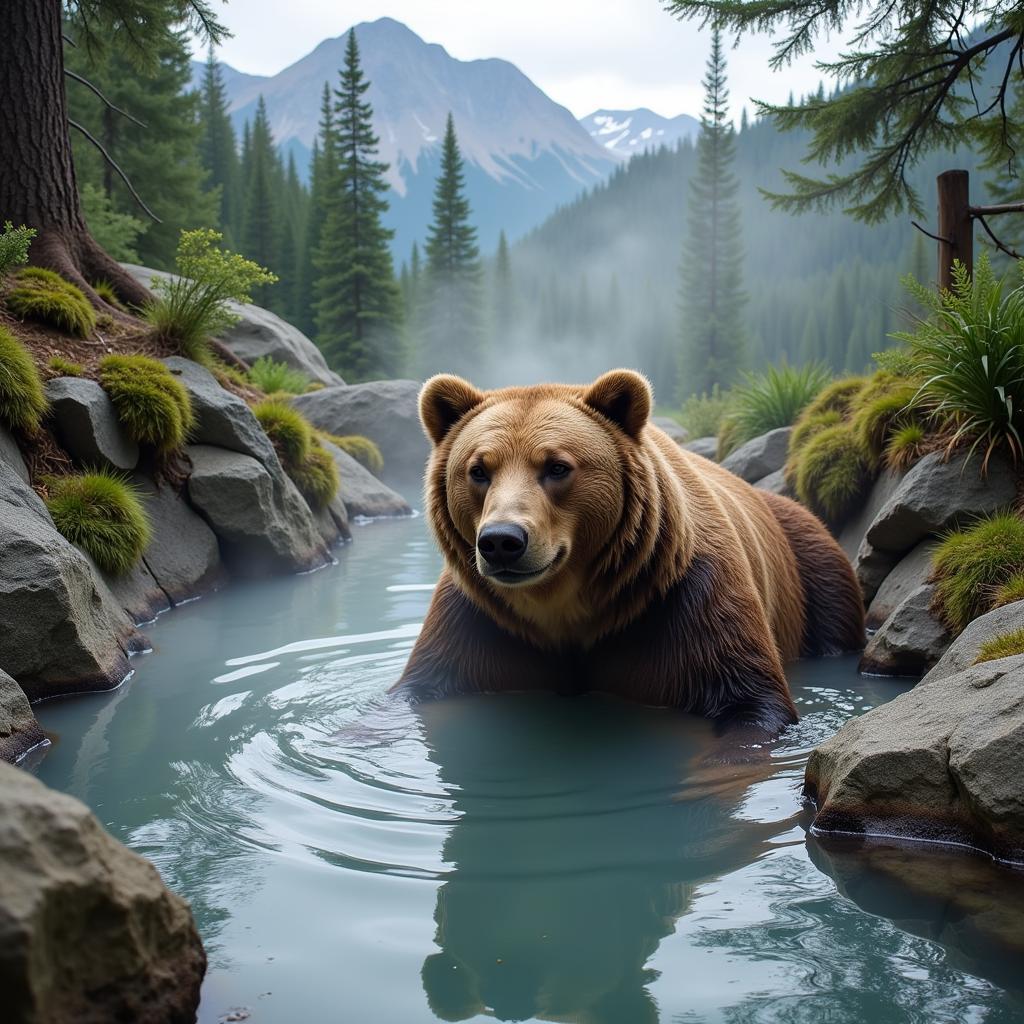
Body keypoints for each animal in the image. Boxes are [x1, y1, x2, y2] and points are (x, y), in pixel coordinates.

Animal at [391, 370, 864, 737]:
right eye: (478, 470)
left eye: (557, 466)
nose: (502, 541)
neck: (567, 608)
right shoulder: (481, 621)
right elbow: (420, 686)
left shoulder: (685, 604)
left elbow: (749, 702)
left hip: (812, 567)